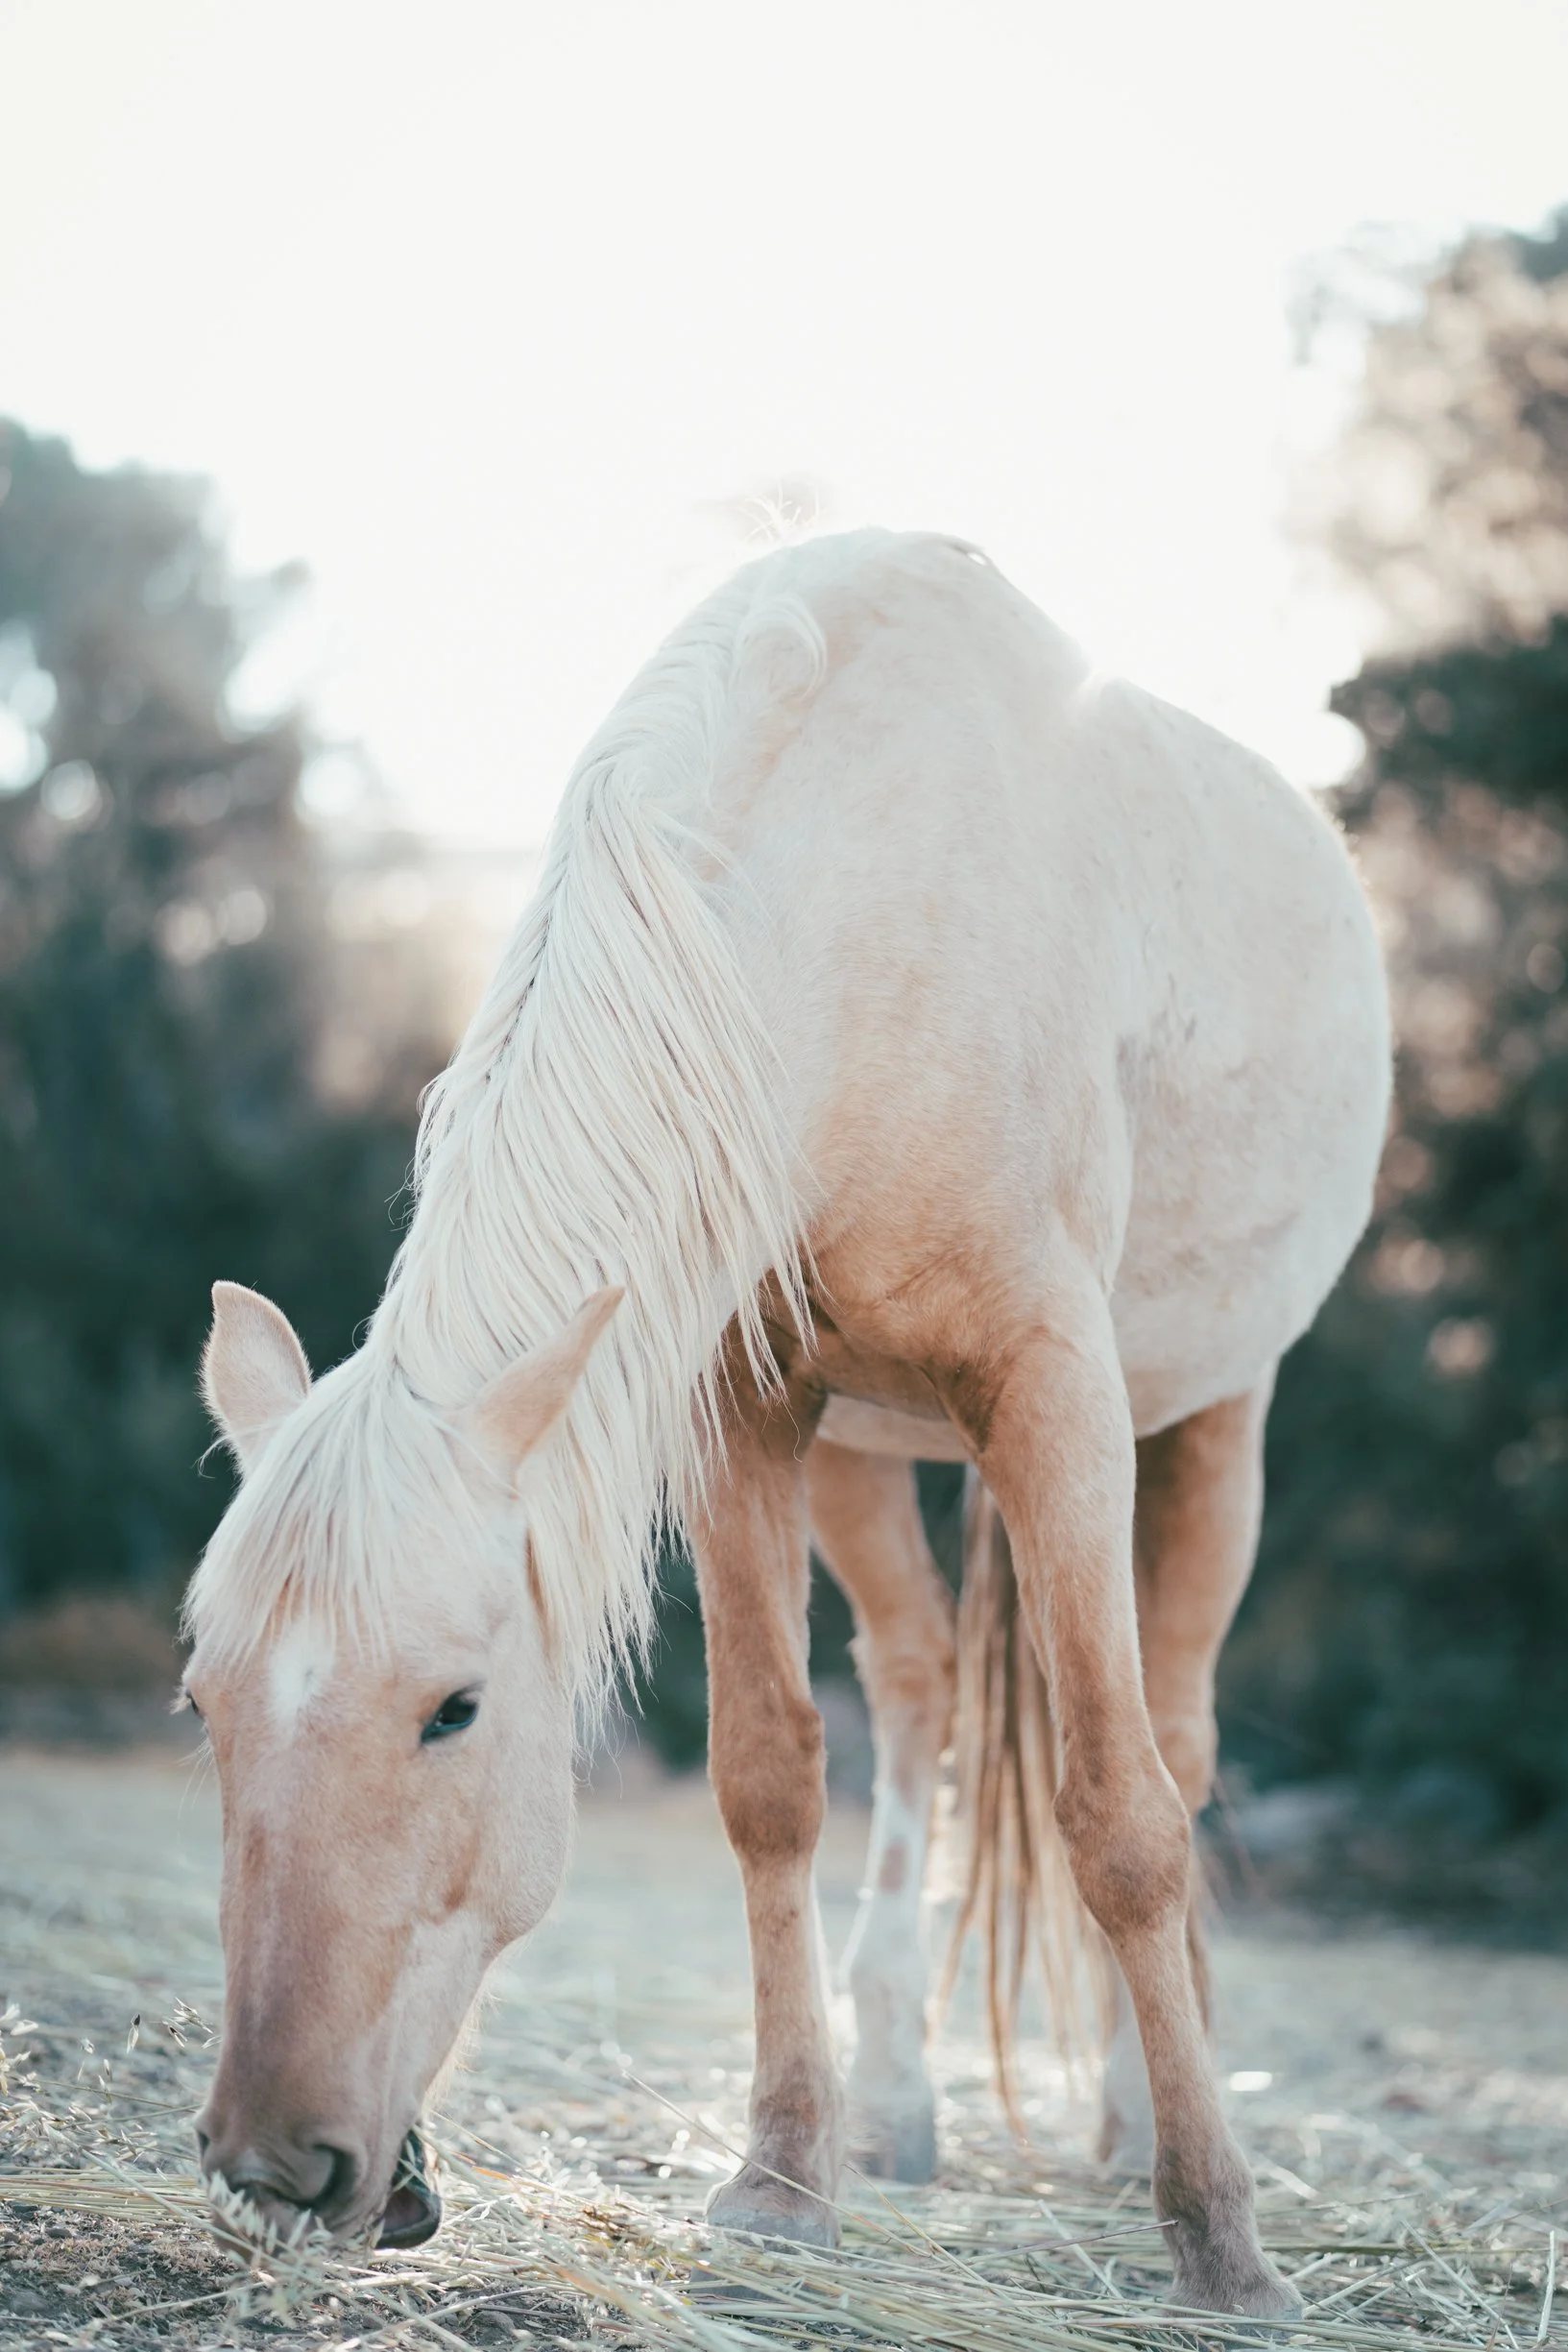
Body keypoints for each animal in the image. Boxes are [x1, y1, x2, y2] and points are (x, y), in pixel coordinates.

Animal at [181, 528, 1389, 2317]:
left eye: (454, 1709)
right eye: (203, 1701)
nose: (269, 2162)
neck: (844, 914)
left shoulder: (1059, 1389)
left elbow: (1119, 1813)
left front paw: (1223, 2245)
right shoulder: (743, 1409)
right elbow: (767, 1778)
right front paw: (781, 2178)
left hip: (1212, 1419)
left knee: (1172, 1732)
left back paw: (1123, 2126)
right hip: (867, 1460)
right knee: (916, 1689)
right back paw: (896, 2104)